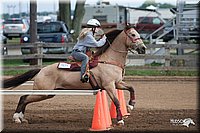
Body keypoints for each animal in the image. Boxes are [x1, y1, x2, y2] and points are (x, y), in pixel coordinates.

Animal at [3, 25, 146, 125]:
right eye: (133, 34)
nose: (143, 48)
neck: (109, 60)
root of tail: (41, 70)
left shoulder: (117, 83)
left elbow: (131, 88)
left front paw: (131, 105)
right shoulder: (109, 86)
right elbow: (116, 101)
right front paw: (120, 120)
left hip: (46, 93)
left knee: (24, 97)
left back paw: (21, 118)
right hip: (43, 92)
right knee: (24, 97)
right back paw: (17, 118)